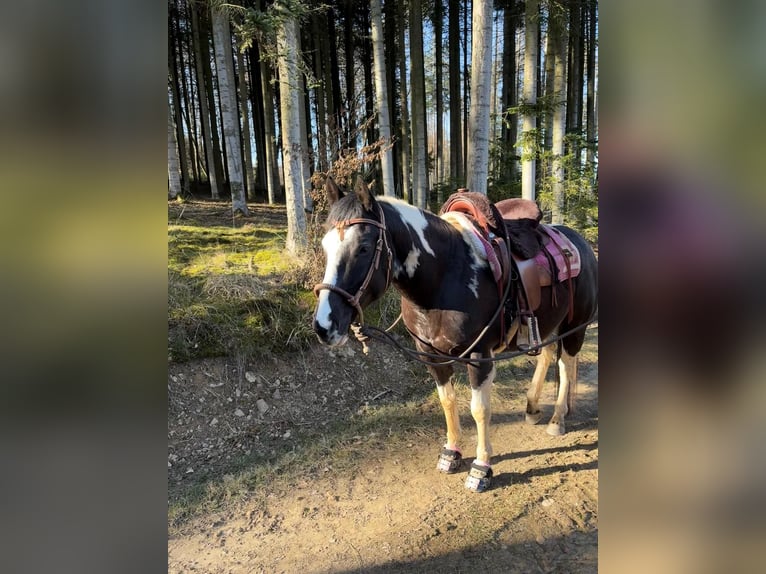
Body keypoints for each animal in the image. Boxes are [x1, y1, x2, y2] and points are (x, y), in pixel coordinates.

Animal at [312, 176, 598, 492]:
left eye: (363, 247)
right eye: (325, 246)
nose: (324, 325)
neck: (445, 277)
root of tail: (581, 242)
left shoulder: (480, 357)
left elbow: (479, 409)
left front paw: (481, 468)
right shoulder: (431, 355)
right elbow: (447, 401)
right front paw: (452, 452)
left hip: (575, 327)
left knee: (566, 365)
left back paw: (557, 420)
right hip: (549, 324)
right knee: (547, 356)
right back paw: (533, 408)